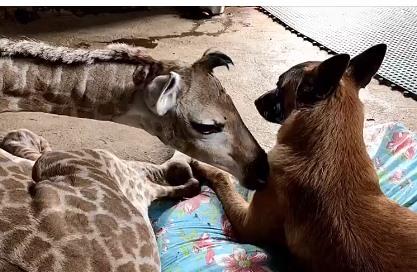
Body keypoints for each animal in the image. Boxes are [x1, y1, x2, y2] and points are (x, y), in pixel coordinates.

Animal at [192, 45, 416, 272]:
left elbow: (224, 179)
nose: (256, 100)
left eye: (279, 86)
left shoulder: (246, 223)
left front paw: (201, 164)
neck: (328, 148)